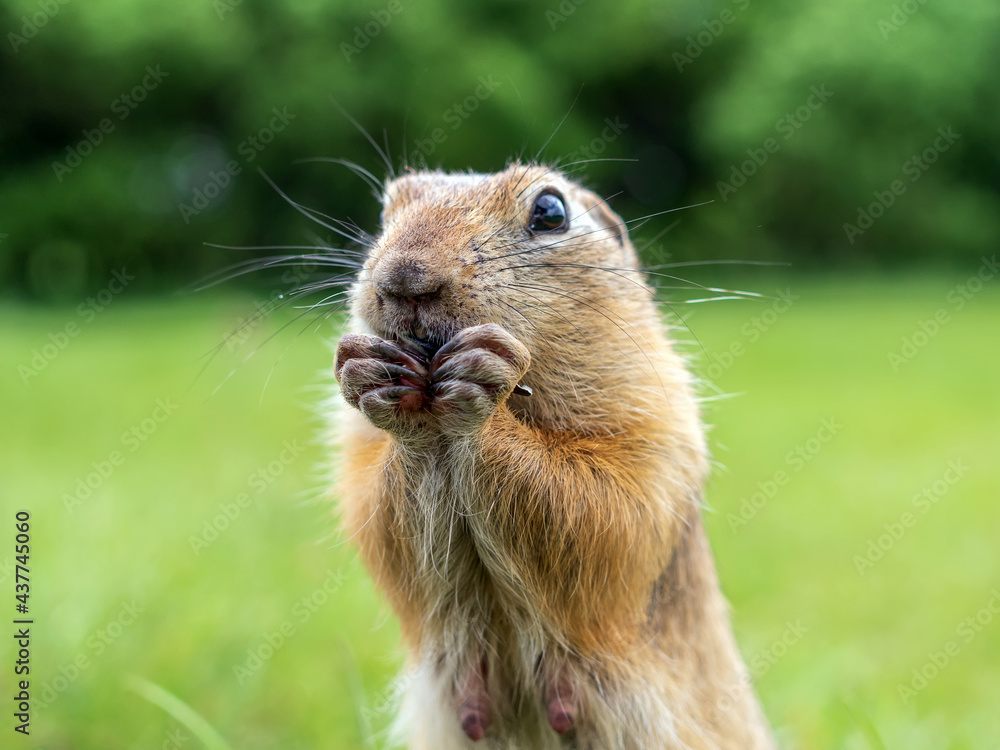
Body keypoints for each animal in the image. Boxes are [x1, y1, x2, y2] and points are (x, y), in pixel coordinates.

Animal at [332, 162, 776, 748]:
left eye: (550, 211)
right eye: (385, 213)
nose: (403, 278)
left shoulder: (656, 416)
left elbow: (610, 511)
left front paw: (484, 380)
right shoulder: (354, 453)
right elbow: (373, 512)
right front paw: (366, 369)